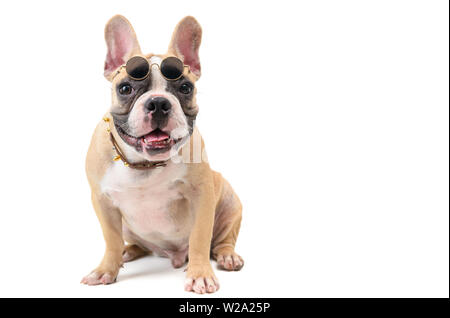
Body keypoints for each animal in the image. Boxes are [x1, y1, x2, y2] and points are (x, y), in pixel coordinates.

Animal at [81, 14, 243, 294]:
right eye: (125, 89)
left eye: (186, 88)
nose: (158, 102)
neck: (145, 164)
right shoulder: (102, 201)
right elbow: (111, 240)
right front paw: (105, 270)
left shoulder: (202, 198)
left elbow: (200, 238)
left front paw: (200, 275)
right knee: (134, 243)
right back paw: (128, 251)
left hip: (230, 202)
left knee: (222, 240)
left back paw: (227, 256)